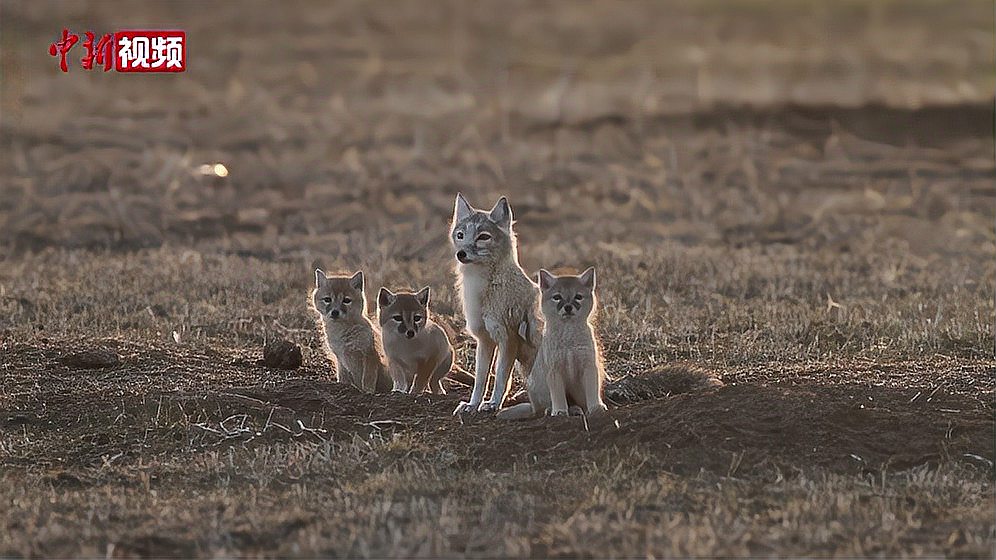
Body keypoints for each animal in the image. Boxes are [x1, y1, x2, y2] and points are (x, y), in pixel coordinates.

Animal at [452, 195, 540, 414]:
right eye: (460, 235)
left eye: (483, 237)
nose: (461, 254)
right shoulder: (484, 339)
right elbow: (480, 380)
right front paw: (472, 405)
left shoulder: (508, 338)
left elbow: (500, 377)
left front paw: (493, 403)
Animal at [498, 268, 608, 420]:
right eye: (557, 297)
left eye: (578, 297)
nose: (568, 307)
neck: (569, 340)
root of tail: (532, 406)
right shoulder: (555, 370)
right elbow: (558, 396)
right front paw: (559, 411)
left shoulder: (589, 366)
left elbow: (592, 393)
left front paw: (596, 408)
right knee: (543, 409)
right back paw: (554, 410)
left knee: (578, 405)